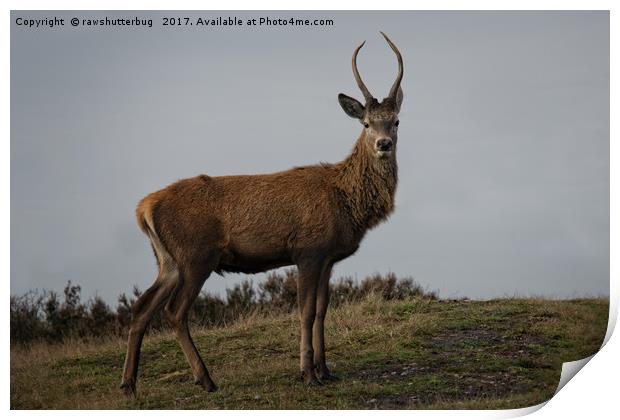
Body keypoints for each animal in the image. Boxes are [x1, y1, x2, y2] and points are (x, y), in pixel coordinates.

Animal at [119, 32, 404, 398]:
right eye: (367, 123)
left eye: (395, 121)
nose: (383, 144)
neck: (346, 202)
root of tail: (144, 208)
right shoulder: (308, 250)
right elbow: (305, 311)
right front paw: (307, 373)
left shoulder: (328, 257)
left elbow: (322, 311)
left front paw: (326, 370)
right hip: (196, 255)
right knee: (174, 312)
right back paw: (206, 379)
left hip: (167, 260)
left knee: (141, 307)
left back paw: (129, 384)